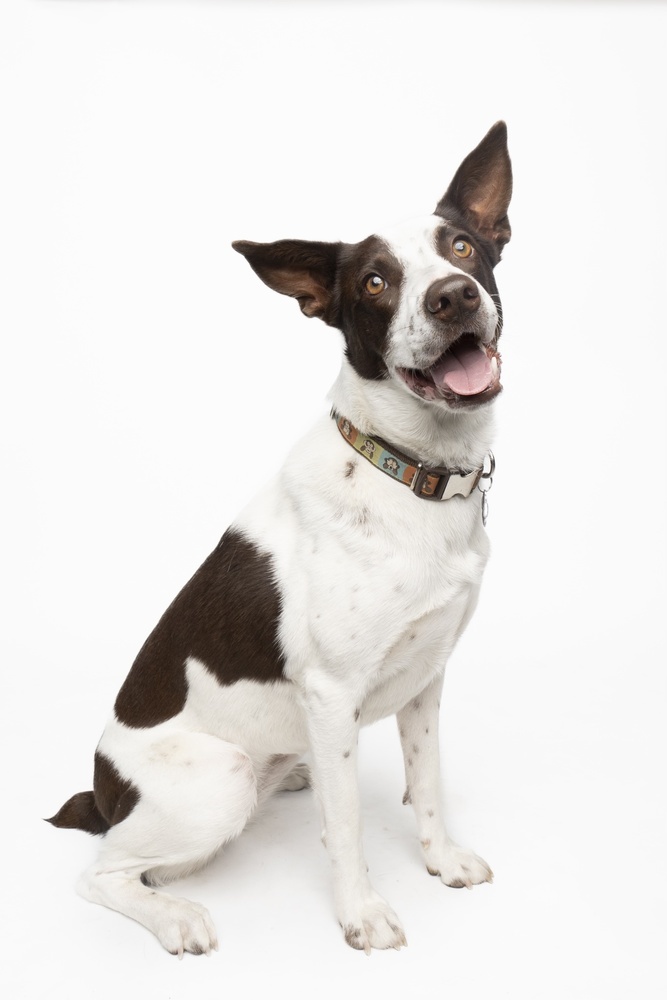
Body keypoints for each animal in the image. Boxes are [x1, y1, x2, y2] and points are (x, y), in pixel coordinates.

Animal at [49, 121, 516, 956]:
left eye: (461, 247)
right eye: (374, 282)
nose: (452, 296)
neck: (408, 472)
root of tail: (104, 790)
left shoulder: (426, 678)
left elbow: (425, 782)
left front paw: (441, 860)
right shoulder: (332, 698)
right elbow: (350, 821)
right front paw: (361, 913)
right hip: (216, 782)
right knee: (102, 873)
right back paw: (177, 918)